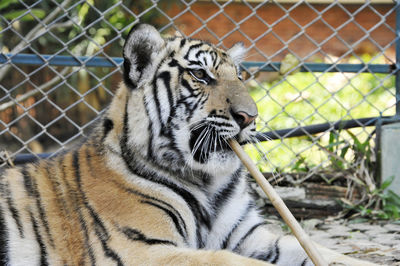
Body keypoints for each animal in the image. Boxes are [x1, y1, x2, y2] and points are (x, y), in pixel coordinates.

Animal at [0, 23, 376, 266]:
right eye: (200, 75)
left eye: (240, 76)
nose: (249, 117)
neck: (207, 183)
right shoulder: (143, 248)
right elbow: (227, 262)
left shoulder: (250, 238)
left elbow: (327, 253)